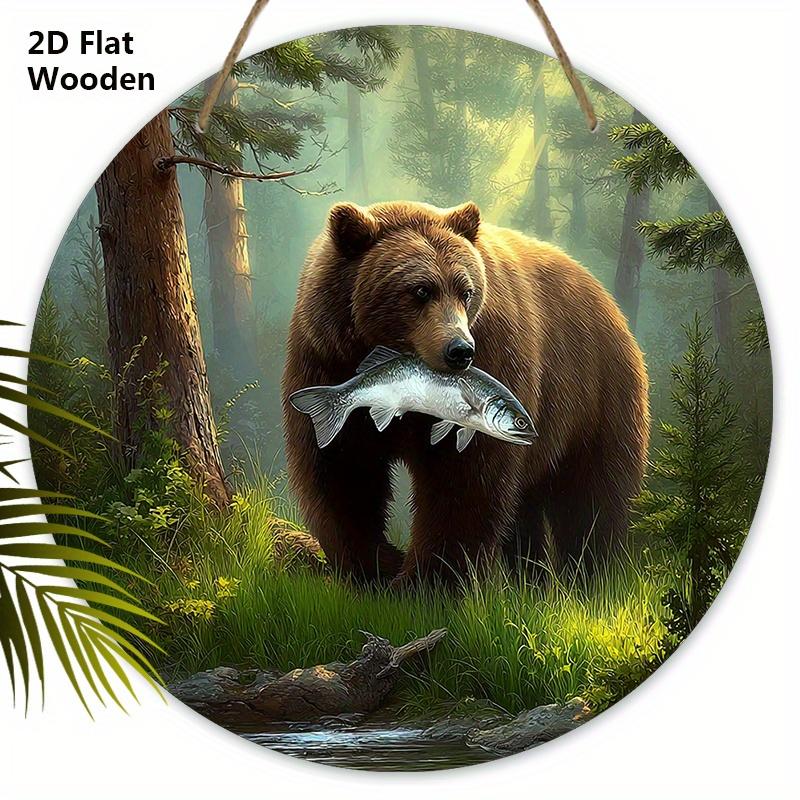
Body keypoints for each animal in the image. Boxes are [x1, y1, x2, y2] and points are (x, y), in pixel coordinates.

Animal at [281, 200, 649, 585]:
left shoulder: (497, 353)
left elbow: (465, 480)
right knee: (527, 506)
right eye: (420, 290)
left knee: (592, 497)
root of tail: (609, 301)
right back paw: (531, 578)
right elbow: (343, 468)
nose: (459, 350)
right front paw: (377, 567)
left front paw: (426, 579)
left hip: (597, 394)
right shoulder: (325, 355)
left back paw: (591, 576)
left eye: (466, 290)